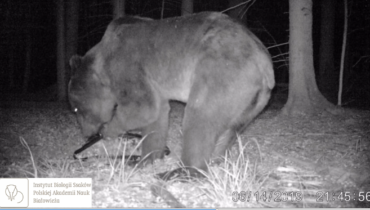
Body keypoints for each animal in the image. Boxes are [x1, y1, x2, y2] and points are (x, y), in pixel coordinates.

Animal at [68, 11, 274, 179]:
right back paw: (214, 160)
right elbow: (157, 116)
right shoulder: (155, 84)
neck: (102, 65)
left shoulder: (128, 65)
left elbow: (143, 107)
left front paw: (109, 129)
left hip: (222, 72)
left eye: (76, 109)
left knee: (199, 118)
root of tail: (265, 64)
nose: (86, 134)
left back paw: (181, 171)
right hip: (250, 102)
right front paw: (145, 158)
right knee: (229, 130)